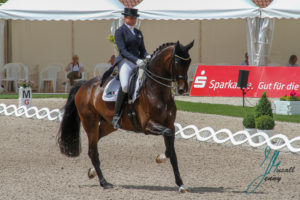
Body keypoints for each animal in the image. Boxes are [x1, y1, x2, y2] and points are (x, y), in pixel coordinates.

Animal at [58, 40, 195, 192]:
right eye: (176, 61)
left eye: (188, 61)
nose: (183, 89)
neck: (157, 90)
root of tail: (84, 85)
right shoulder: (148, 126)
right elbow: (169, 145)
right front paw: (161, 158)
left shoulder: (169, 124)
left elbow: (172, 152)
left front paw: (180, 183)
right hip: (90, 122)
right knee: (93, 151)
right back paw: (104, 182)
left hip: (108, 125)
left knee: (93, 145)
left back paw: (92, 172)